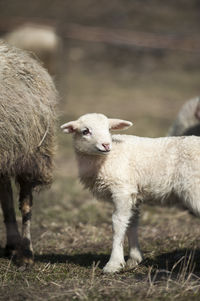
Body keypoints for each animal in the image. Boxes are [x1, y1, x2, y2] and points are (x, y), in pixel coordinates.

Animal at [60, 112, 200, 272]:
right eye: (85, 131)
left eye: (108, 129)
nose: (106, 145)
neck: (107, 158)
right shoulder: (133, 194)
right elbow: (132, 222)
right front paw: (134, 259)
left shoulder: (122, 189)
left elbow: (118, 223)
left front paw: (114, 264)